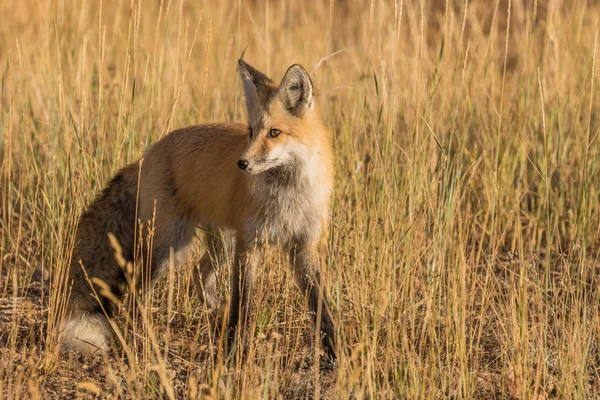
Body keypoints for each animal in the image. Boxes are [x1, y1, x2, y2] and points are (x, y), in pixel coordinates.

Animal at [63, 61, 340, 360]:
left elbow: (320, 306)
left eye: (274, 133)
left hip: (222, 245)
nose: (242, 163)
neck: (287, 195)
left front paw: (337, 351)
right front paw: (236, 352)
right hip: (171, 245)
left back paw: (216, 316)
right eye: (251, 131)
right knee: (137, 292)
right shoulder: (249, 245)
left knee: (197, 274)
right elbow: (244, 305)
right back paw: (141, 342)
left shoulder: (303, 246)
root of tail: (146, 155)